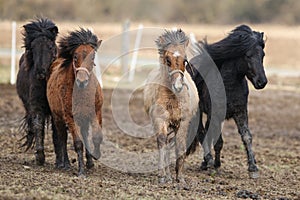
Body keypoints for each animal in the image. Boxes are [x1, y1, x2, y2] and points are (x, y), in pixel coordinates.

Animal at [16, 18, 58, 166]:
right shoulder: (36, 105)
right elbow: (38, 125)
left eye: (50, 46)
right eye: (33, 47)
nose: (40, 72)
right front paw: (40, 156)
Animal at [47, 28, 103, 177]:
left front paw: (95, 156)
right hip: (58, 118)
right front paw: (81, 171)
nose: (82, 81)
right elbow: (78, 143)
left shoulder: (96, 113)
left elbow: (97, 136)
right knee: (62, 136)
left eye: (92, 57)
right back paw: (65, 164)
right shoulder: (70, 116)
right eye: (75, 56)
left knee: (85, 135)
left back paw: (89, 162)